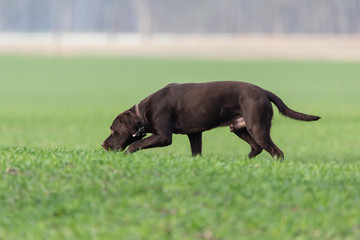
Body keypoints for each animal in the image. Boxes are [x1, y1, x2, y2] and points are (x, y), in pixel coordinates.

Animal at [102, 81, 320, 160]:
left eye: (113, 130)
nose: (103, 145)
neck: (142, 113)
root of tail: (263, 91)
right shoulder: (194, 134)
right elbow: (196, 153)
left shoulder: (164, 136)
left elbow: (136, 144)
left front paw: (127, 155)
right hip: (239, 128)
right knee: (256, 148)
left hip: (257, 128)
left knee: (277, 152)